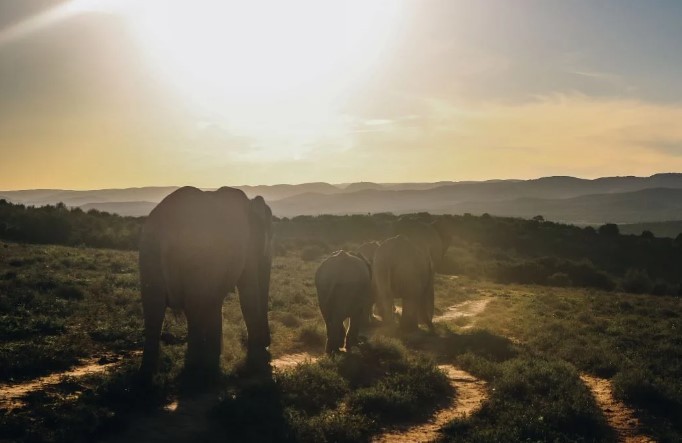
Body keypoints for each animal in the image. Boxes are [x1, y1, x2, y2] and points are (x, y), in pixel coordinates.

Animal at [137, 186, 270, 376]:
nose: (268, 345)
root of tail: (166, 230)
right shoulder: (248, 248)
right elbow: (248, 294)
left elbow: (216, 300)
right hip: (197, 256)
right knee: (193, 309)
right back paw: (195, 371)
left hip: (149, 251)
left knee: (153, 310)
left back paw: (147, 374)